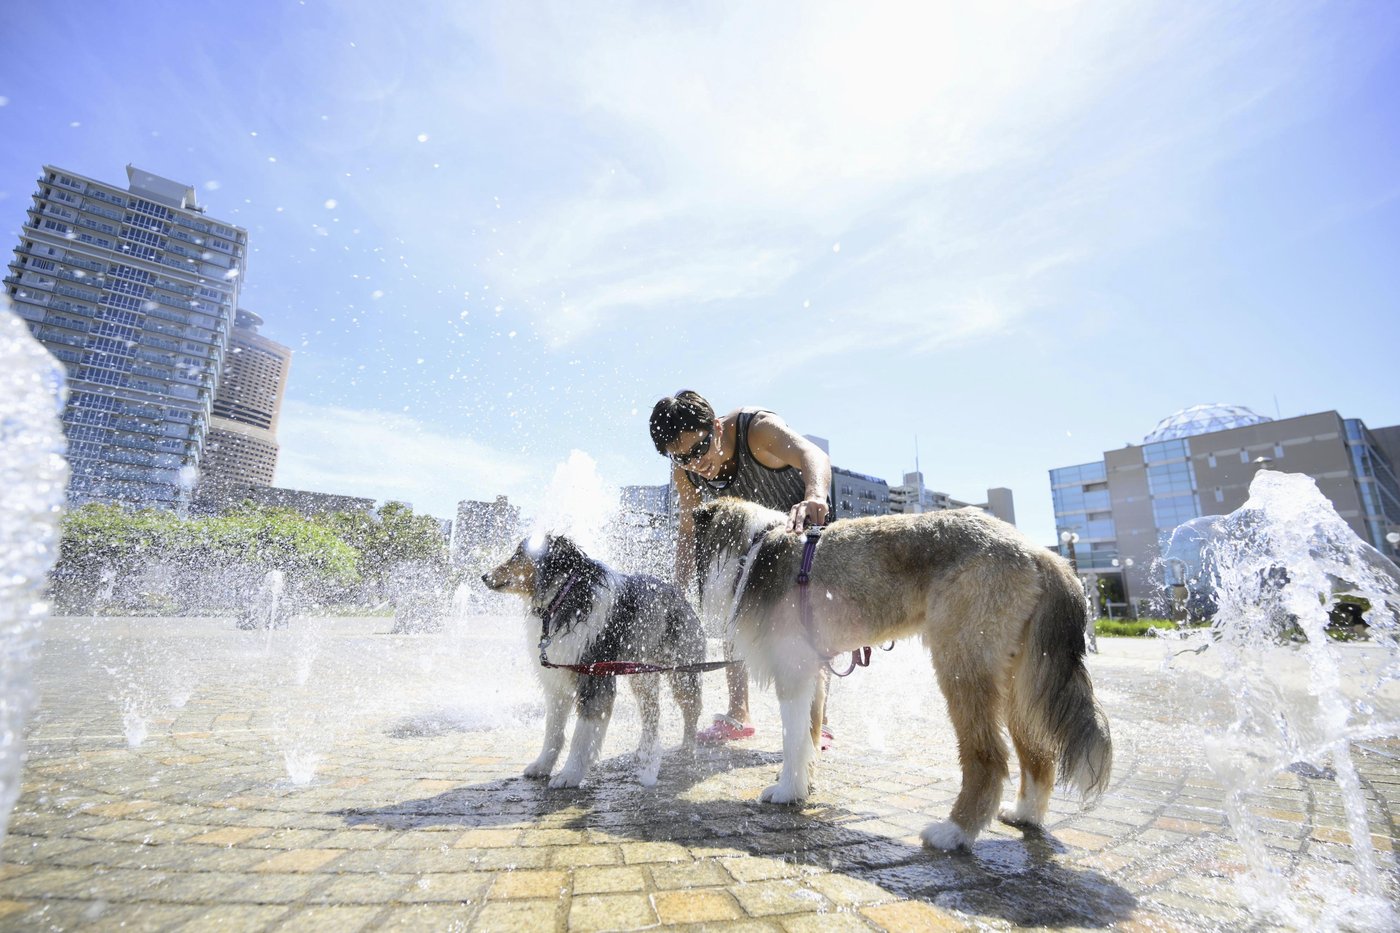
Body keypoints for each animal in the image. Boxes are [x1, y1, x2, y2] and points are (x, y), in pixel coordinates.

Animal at [484, 529, 705, 784]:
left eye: (519, 554)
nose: (484, 576)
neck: (563, 597)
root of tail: (679, 594)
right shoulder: (558, 679)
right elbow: (553, 730)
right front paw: (541, 766)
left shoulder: (594, 676)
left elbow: (582, 734)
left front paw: (569, 775)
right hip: (641, 673)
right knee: (652, 712)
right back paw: (644, 752)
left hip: (682, 671)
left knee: (691, 709)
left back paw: (687, 748)